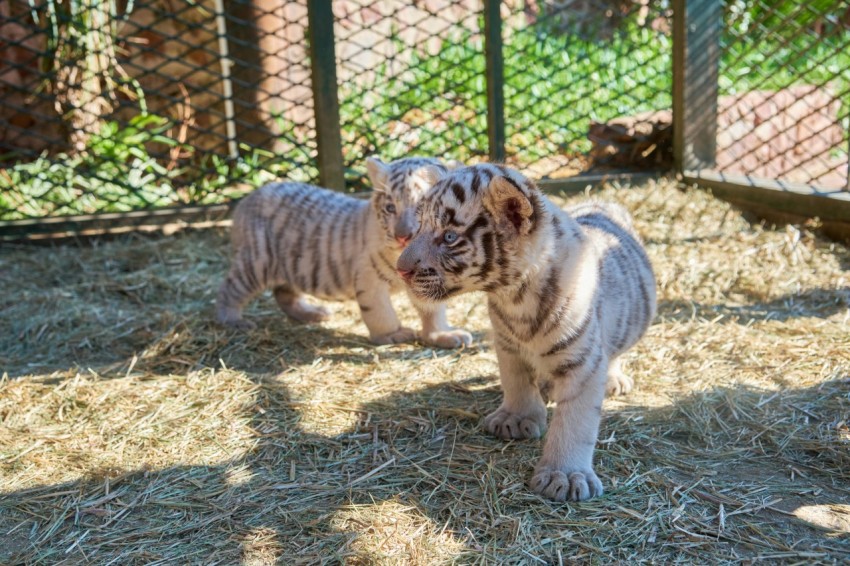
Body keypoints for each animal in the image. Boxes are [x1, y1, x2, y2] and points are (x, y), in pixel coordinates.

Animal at [216, 156, 473, 349]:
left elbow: (433, 311)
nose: (403, 236)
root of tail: (247, 200)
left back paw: (313, 313)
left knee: (283, 294)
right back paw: (233, 320)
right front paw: (392, 334)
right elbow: (380, 311)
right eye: (390, 208)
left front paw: (442, 336)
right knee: (230, 289)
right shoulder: (370, 278)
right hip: (257, 261)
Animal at [396, 163, 656, 501]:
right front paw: (516, 419)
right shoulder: (506, 345)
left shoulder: (584, 360)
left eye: (449, 236)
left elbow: (575, 420)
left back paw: (613, 379)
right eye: (420, 227)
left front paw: (565, 475)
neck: (514, 297)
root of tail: (603, 201)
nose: (400, 269)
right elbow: (516, 382)